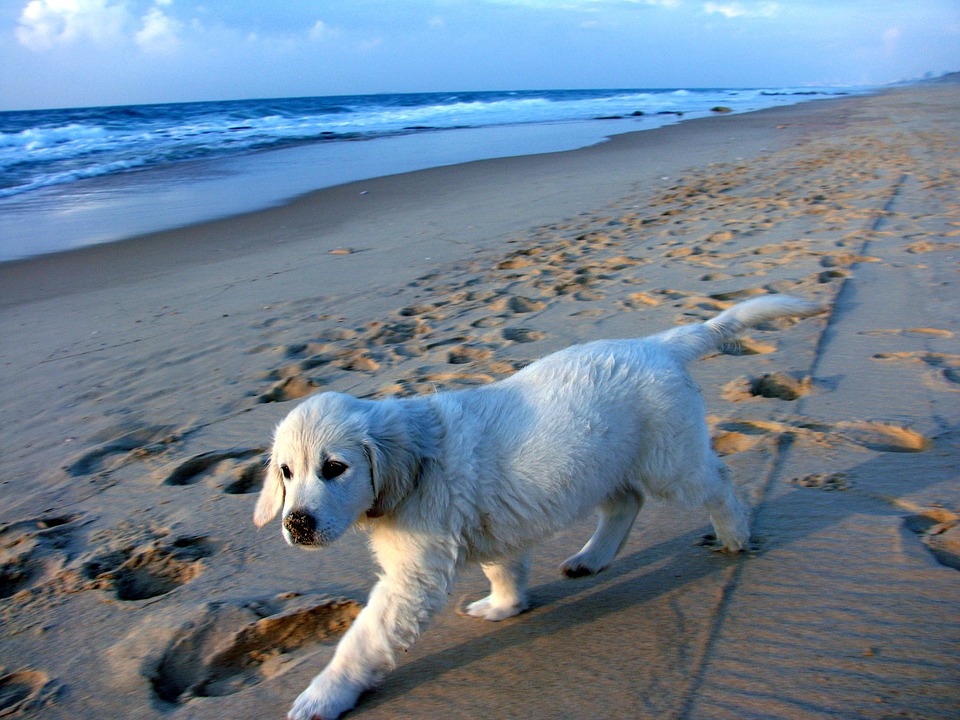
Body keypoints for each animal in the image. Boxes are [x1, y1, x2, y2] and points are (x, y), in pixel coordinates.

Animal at [253, 294, 816, 720]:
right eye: (286, 472)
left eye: (335, 468)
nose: (296, 523)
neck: (415, 461)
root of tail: (655, 345)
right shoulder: (492, 528)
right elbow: (504, 570)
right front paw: (504, 606)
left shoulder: (412, 579)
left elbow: (363, 640)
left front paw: (322, 696)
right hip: (602, 463)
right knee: (626, 502)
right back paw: (591, 558)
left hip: (669, 460)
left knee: (717, 482)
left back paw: (735, 535)